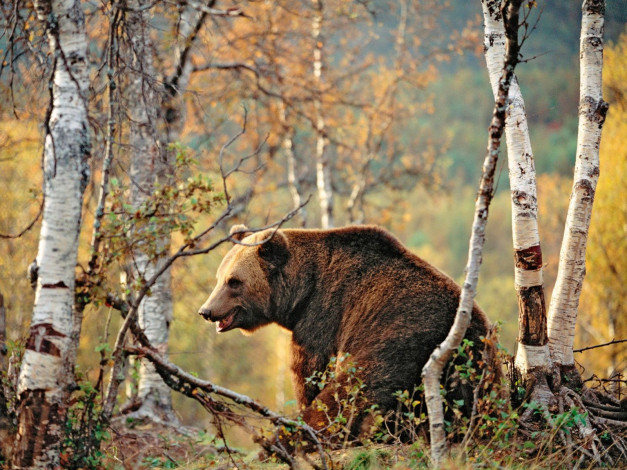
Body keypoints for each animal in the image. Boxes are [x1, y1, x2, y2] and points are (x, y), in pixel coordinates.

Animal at [199, 226, 494, 442]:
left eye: (234, 282)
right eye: (219, 277)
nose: (206, 310)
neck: (302, 292)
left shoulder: (323, 317)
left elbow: (311, 374)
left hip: (398, 344)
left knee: (350, 396)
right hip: (471, 373)